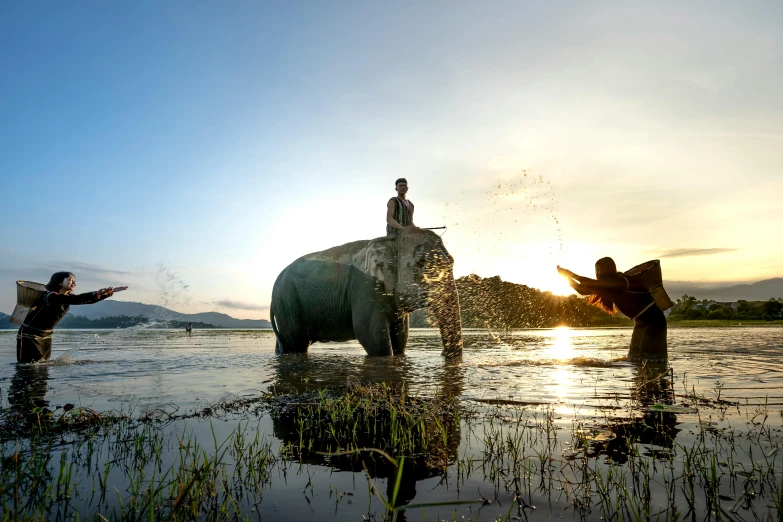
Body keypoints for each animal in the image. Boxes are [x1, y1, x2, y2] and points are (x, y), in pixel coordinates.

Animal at [272, 229, 462, 358]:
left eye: (452, 262)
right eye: (421, 264)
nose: (443, 353)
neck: (392, 241)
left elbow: (401, 337)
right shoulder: (366, 287)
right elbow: (370, 335)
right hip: (287, 302)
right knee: (295, 344)